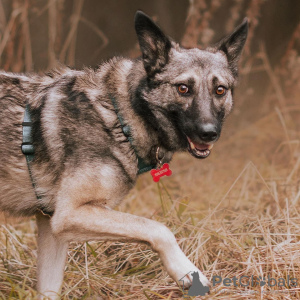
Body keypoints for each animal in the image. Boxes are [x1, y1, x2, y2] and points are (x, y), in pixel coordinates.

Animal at [0, 10, 248, 298]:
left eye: (220, 90)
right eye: (183, 88)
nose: (209, 133)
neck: (118, 116)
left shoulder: (53, 228)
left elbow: (49, 290)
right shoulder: (70, 215)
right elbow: (159, 229)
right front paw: (187, 272)